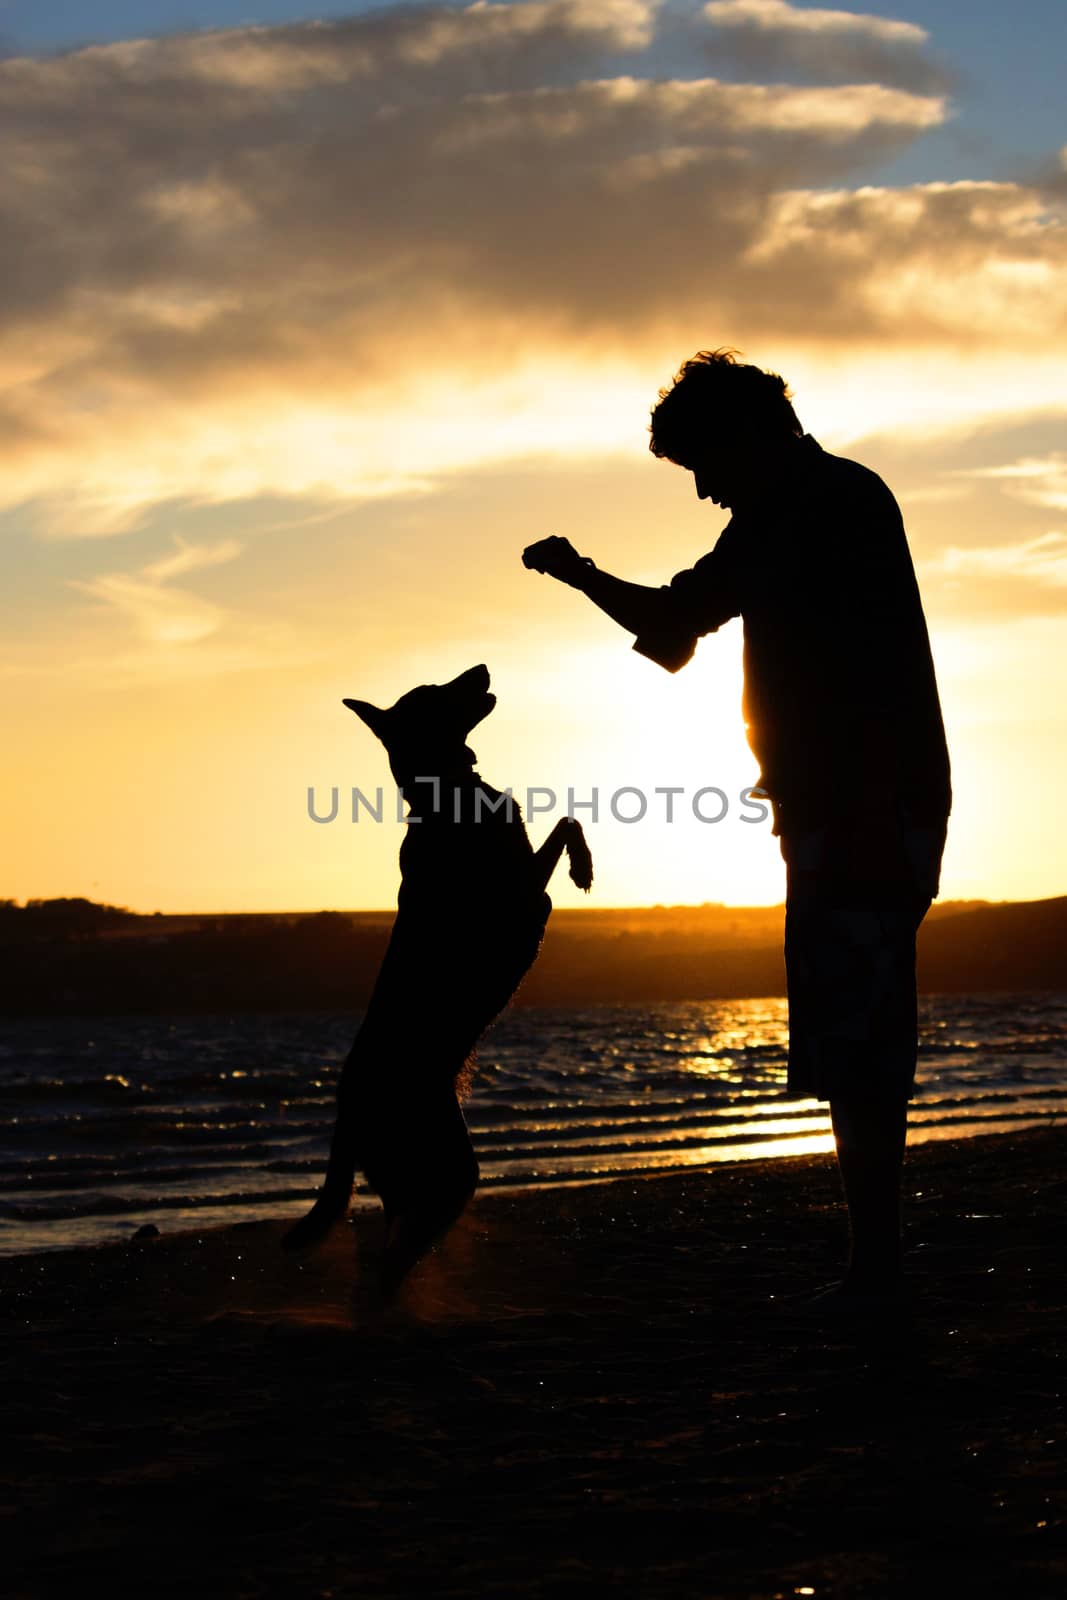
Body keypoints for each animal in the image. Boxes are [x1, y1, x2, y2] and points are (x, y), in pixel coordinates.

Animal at [283, 665, 591, 1299]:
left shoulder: (528, 874)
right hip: (451, 1168)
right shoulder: (524, 899)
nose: (481, 669)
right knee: (393, 1264)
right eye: (431, 693)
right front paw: (583, 869)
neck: (446, 791)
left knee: (391, 1241)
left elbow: (567, 819)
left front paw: (583, 864)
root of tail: (345, 1112)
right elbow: (564, 833)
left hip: (412, 1179)